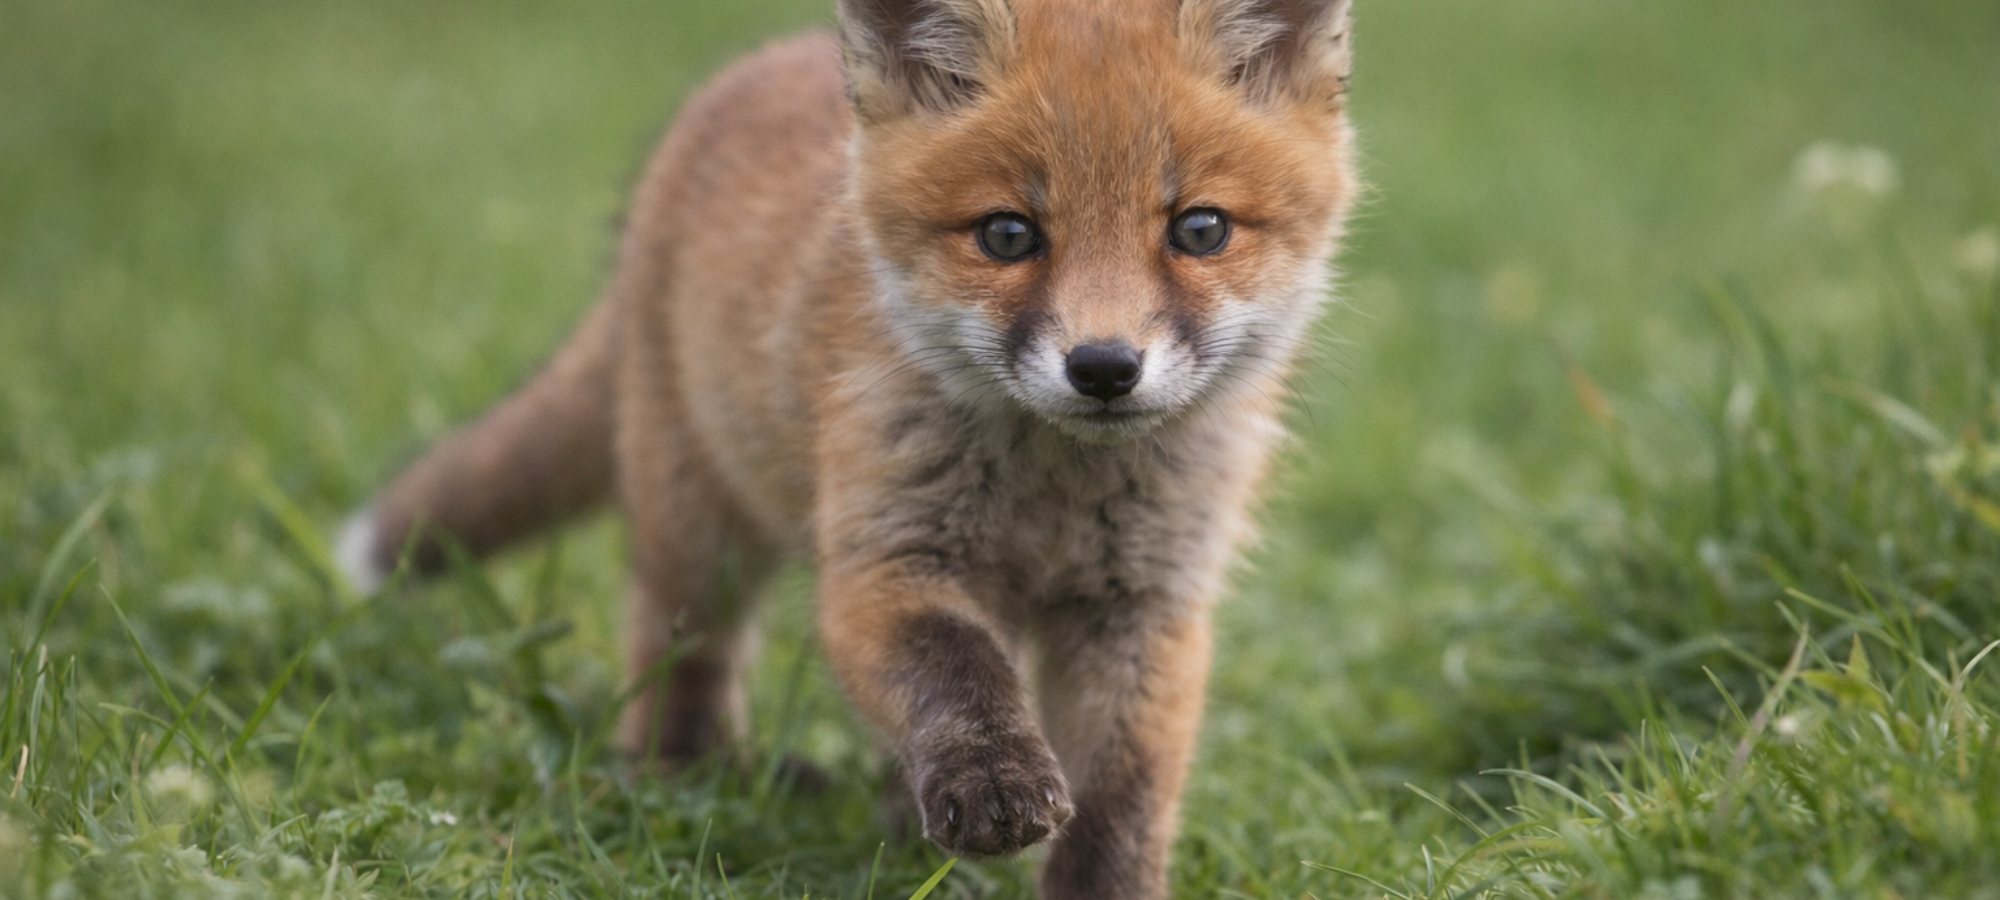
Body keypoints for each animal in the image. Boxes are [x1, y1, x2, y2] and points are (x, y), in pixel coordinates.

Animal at [336, 0, 1357, 895]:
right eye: (1008, 234)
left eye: (1200, 229)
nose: (1104, 367)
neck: (1053, 498)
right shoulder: (883, 563)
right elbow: (956, 674)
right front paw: (993, 783)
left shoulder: (1144, 604)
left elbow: (1123, 796)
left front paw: (1097, 885)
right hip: (697, 533)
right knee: (679, 658)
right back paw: (688, 779)